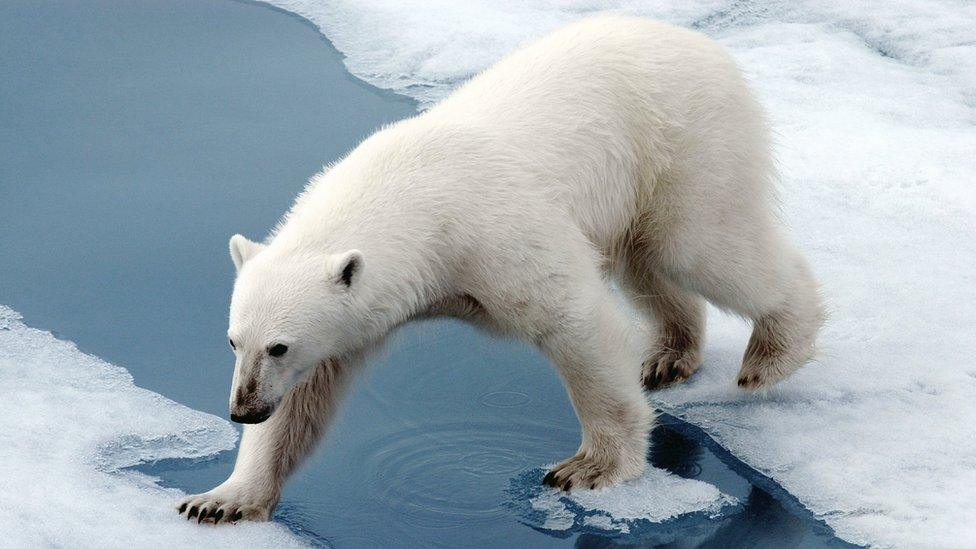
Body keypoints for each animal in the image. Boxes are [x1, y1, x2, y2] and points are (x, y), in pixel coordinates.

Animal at [177, 16, 824, 524]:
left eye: (279, 345)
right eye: (234, 340)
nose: (242, 409)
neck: (414, 198)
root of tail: (703, 45)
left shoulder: (493, 234)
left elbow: (575, 320)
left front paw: (587, 468)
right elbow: (307, 398)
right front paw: (219, 499)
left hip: (684, 143)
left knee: (699, 247)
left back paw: (771, 355)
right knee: (650, 265)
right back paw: (667, 355)